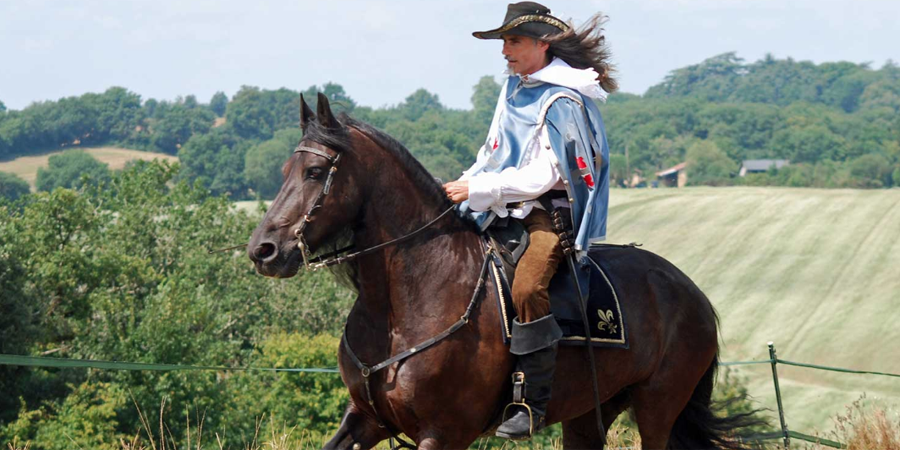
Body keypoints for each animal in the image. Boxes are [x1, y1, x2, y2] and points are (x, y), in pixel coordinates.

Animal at [247, 93, 759, 450]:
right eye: (284, 169)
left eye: (315, 172)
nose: (263, 251)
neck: (406, 300)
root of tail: (692, 294)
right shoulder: (365, 418)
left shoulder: (445, 432)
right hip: (589, 414)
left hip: (658, 407)